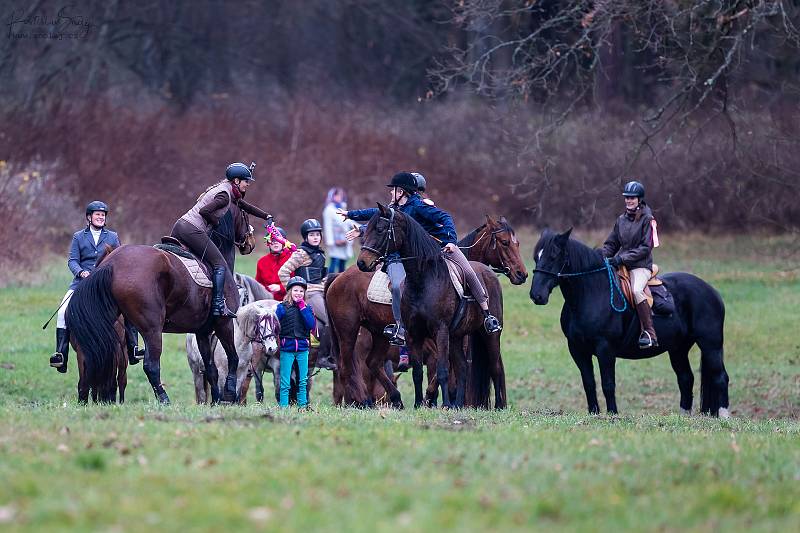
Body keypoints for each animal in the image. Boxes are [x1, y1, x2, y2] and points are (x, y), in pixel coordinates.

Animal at [324, 215, 524, 408]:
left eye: (516, 243)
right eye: (505, 242)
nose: (522, 274)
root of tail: (338, 277)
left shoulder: (447, 338)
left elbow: (449, 370)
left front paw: (436, 400)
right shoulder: (433, 343)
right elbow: (439, 371)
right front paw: (433, 399)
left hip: (379, 335)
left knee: (372, 363)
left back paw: (395, 399)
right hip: (348, 333)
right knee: (347, 368)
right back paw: (362, 401)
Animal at [528, 228, 728, 416]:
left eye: (553, 256)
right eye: (536, 257)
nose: (536, 295)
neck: (592, 293)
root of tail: (712, 292)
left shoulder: (605, 349)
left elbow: (608, 383)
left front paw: (612, 414)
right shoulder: (577, 349)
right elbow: (589, 383)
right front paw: (594, 413)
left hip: (710, 345)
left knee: (720, 377)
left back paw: (724, 415)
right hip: (678, 348)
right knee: (686, 378)